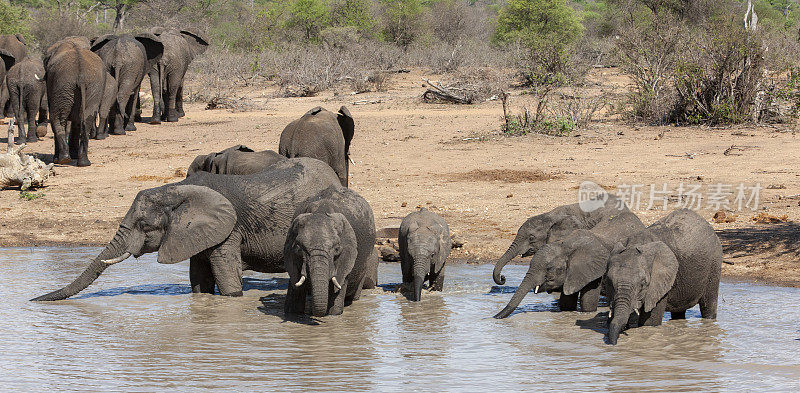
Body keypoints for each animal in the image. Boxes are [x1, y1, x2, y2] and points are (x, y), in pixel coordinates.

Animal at [32, 156, 340, 300]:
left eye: (144, 225)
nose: (33, 300)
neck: (177, 190)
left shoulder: (229, 230)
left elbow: (229, 284)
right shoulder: (194, 234)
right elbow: (199, 282)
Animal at [604, 208, 720, 344]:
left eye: (643, 284)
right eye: (609, 282)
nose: (614, 343)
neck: (635, 244)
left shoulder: (659, 282)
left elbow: (649, 322)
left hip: (714, 264)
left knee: (709, 305)